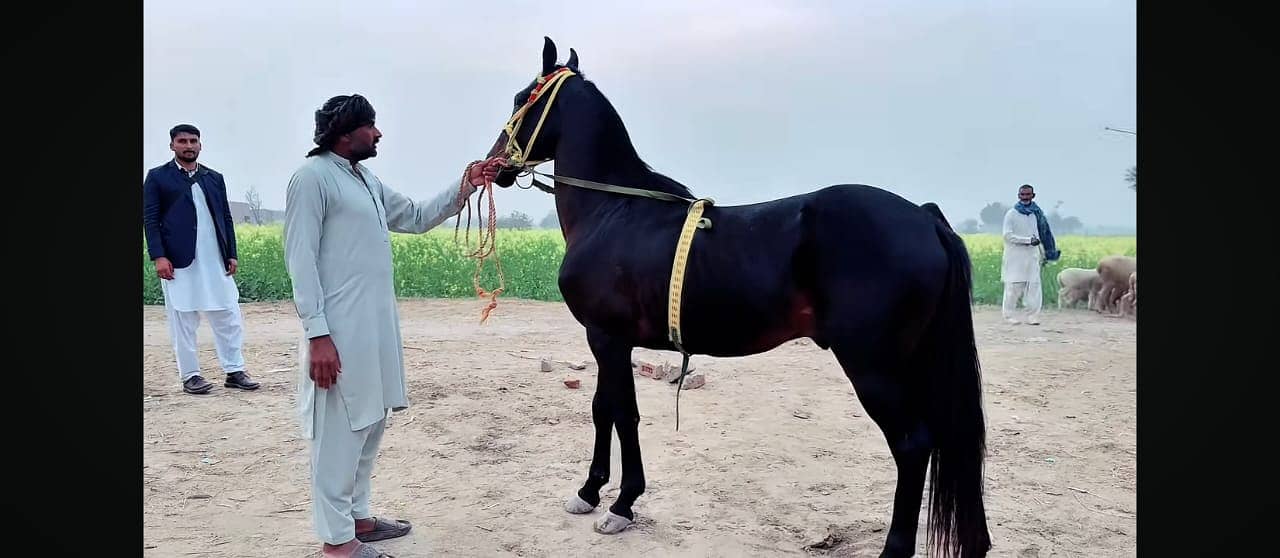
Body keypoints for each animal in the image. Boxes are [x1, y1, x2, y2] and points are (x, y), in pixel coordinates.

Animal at [482, 37, 992, 558]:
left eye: (522, 98)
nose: (494, 165)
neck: (613, 210)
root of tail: (925, 217)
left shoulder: (607, 338)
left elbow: (621, 413)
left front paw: (620, 504)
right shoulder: (607, 340)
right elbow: (603, 408)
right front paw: (591, 492)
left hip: (875, 367)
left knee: (912, 444)